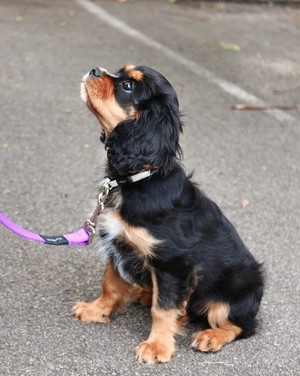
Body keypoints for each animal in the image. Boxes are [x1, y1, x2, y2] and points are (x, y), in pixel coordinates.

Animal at [73, 64, 264, 364]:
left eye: (127, 86)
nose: (94, 69)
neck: (138, 178)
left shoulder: (172, 263)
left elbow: (162, 309)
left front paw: (157, 347)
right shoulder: (118, 242)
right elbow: (111, 283)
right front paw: (96, 310)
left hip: (235, 289)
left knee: (241, 325)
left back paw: (211, 336)